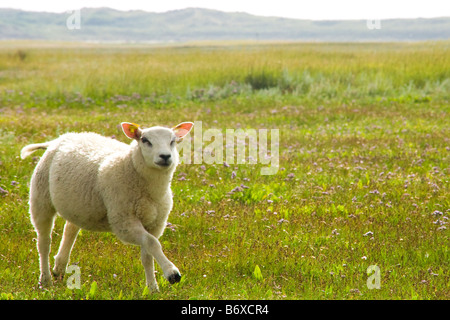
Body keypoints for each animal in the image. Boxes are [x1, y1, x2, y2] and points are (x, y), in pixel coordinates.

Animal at [20, 121, 193, 292]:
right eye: (145, 140)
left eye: (172, 141)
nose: (165, 156)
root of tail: (60, 138)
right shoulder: (123, 222)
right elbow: (152, 243)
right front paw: (172, 273)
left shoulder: (156, 223)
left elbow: (148, 255)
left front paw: (152, 288)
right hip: (41, 199)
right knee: (44, 243)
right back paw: (46, 279)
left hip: (78, 205)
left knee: (70, 230)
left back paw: (59, 268)